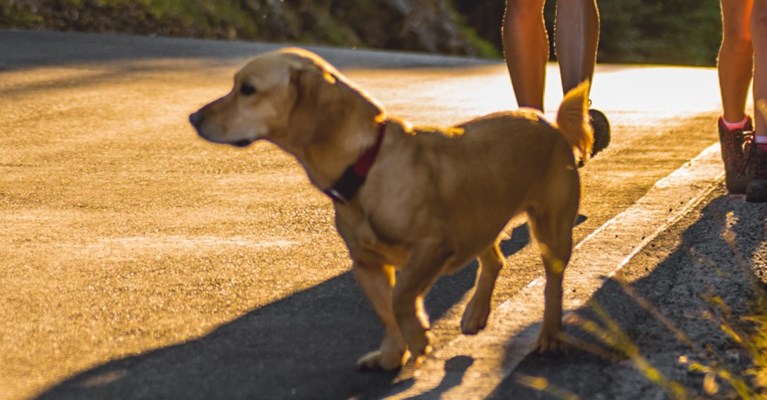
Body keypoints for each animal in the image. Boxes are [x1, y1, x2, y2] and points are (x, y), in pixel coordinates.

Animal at [190, 47, 592, 372]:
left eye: (247, 89)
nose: (194, 118)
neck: (367, 164)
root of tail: (548, 122)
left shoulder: (432, 247)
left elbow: (400, 300)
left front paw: (418, 338)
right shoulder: (367, 263)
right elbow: (386, 310)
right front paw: (391, 354)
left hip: (551, 231)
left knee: (552, 285)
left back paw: (550, 337)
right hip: (479, 218)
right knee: (494, 259)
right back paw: (476, 313)